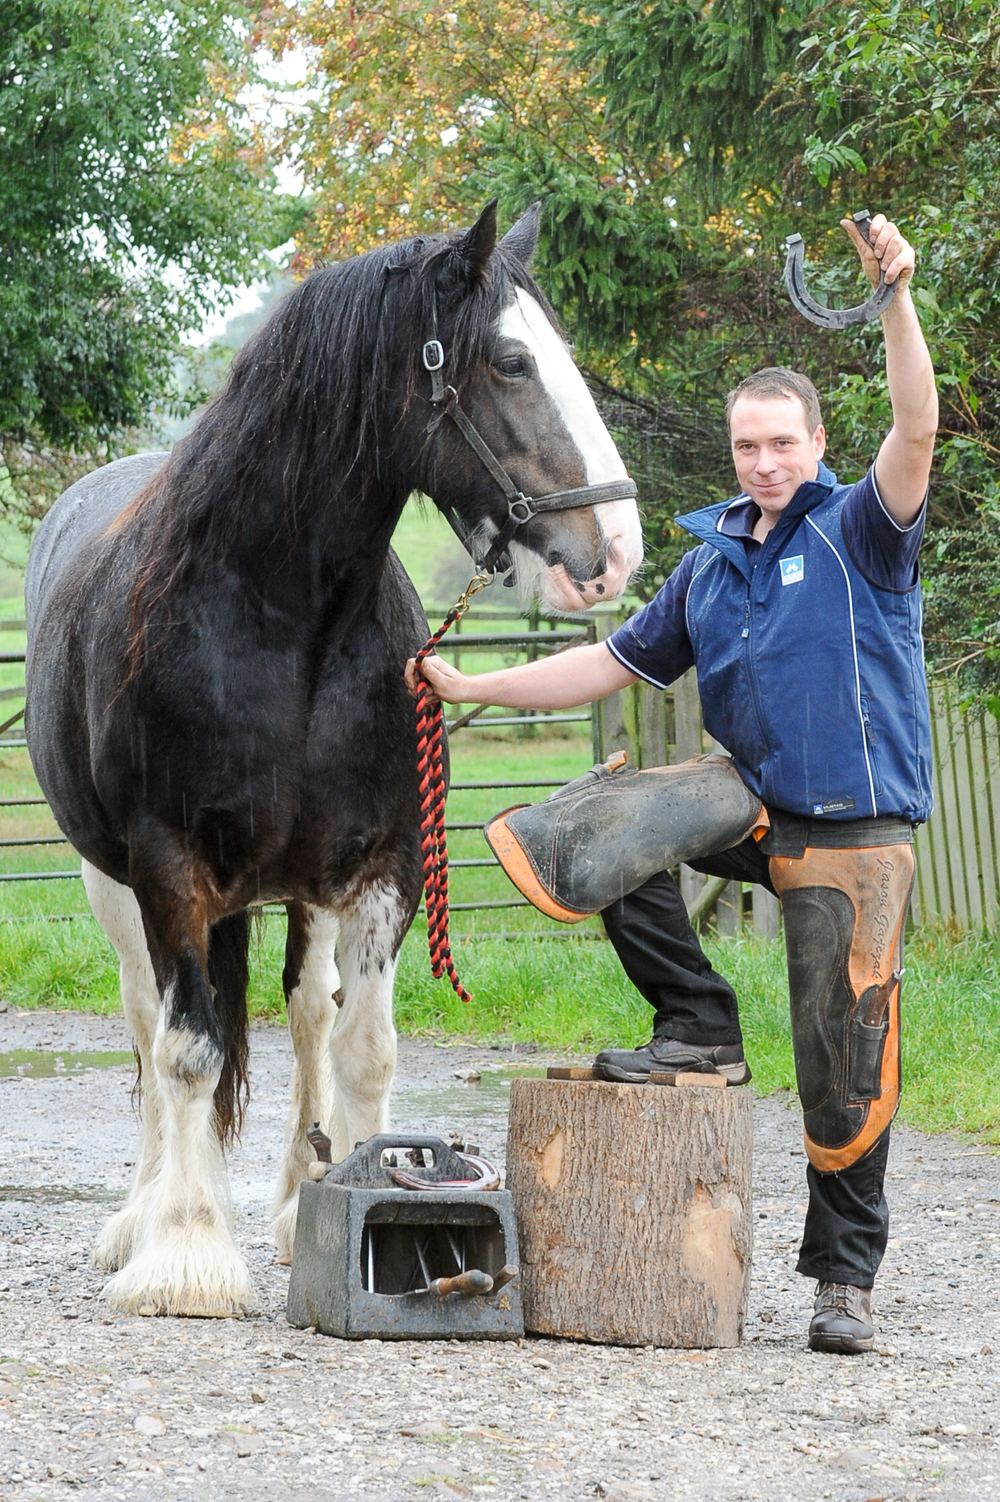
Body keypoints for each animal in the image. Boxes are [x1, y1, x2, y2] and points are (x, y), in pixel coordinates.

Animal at [24, 201, 643, 1318]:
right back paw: (140, 1215)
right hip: (111, 882)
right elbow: (186, 1051)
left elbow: (363, 1050)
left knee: (308, 1015)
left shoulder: (383, 867)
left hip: (302, 889)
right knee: (145, 1024)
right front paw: (185, 1254)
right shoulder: (168, 868)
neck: (277, 622)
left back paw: (287, 1202)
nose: (616, 550)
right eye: (511, 359)